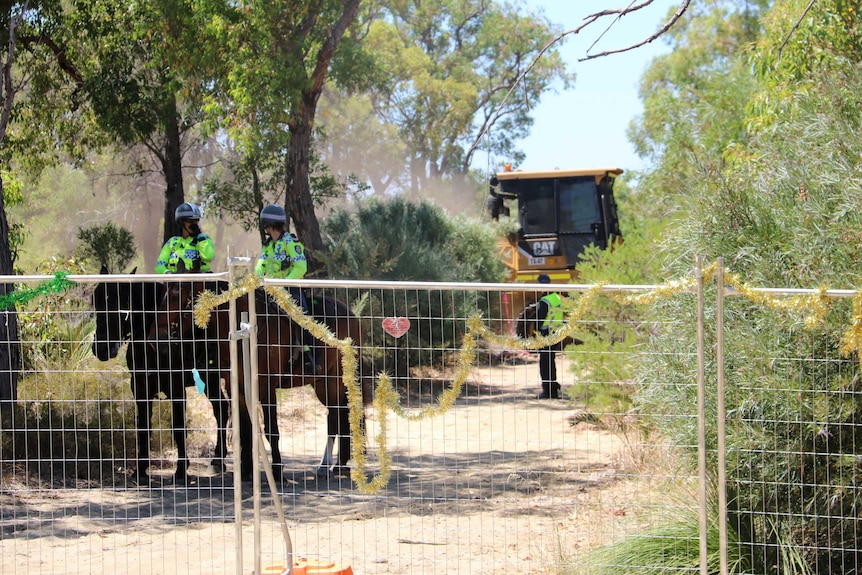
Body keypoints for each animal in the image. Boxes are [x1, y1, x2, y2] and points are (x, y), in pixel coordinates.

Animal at [152, 276, 368, 480]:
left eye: (176, 295)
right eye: (161, 296)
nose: (157, 338)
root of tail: (353, 316)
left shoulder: (265, 387)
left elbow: (271, 430)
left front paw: (277, 471)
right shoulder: (237, 388)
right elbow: (245, 429)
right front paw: (246, 471)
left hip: (333, 381)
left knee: (335, 416)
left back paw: (328, 466)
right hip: (322, 383)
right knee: (340, 414)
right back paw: (339, 464)